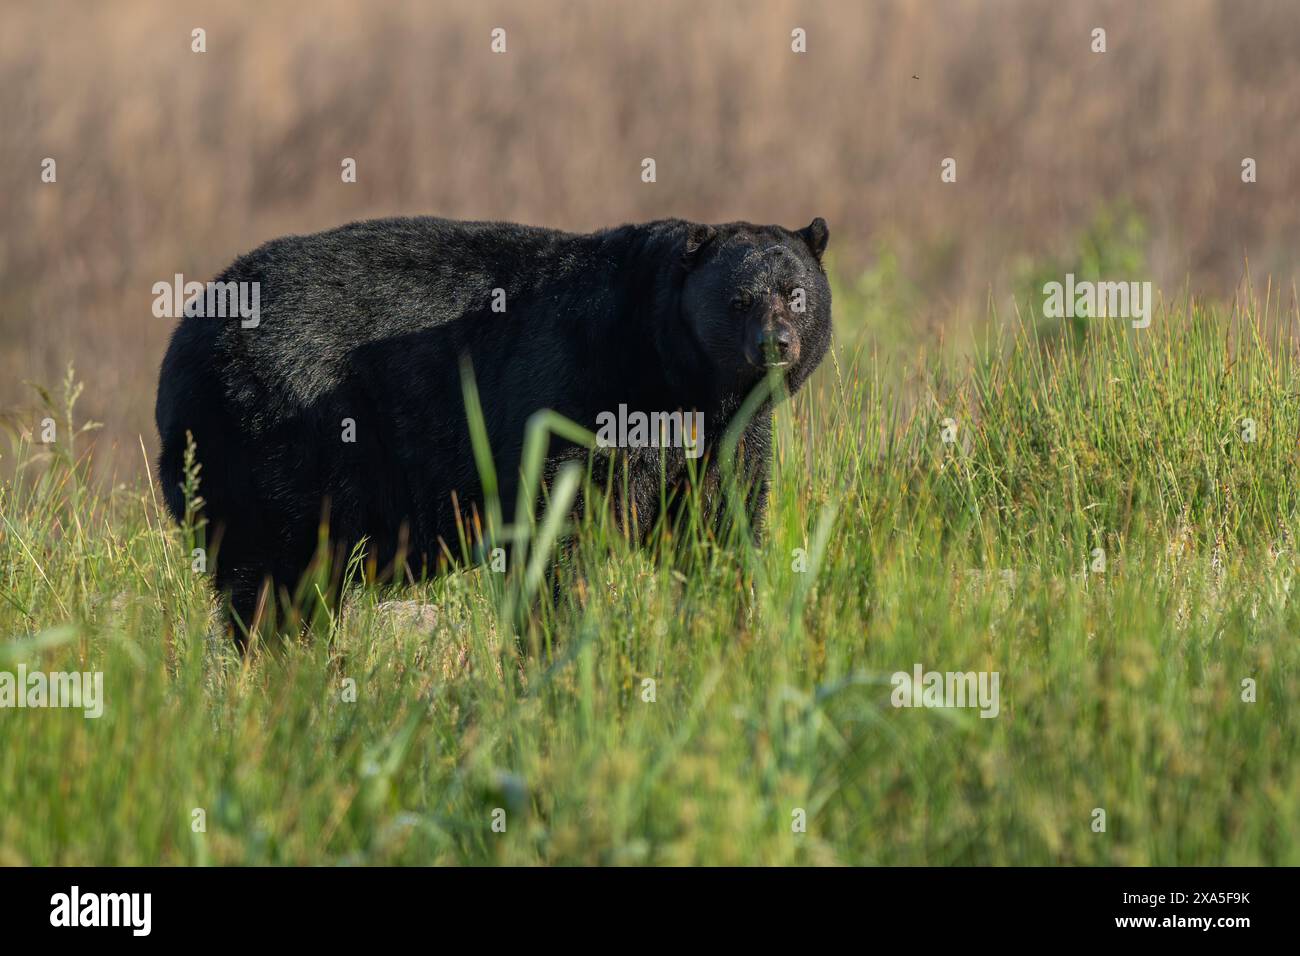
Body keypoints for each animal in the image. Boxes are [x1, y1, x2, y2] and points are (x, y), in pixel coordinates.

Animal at [157, 217, 832, 642]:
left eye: (796, 294)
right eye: (739, 300)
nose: (776, 344)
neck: (672, 380)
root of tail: (187, 333)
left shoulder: (726, 439)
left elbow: (719, 523)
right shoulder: (572, 389)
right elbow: (552, 525)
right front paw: (553, 636)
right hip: (275, 438)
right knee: (277, 573)